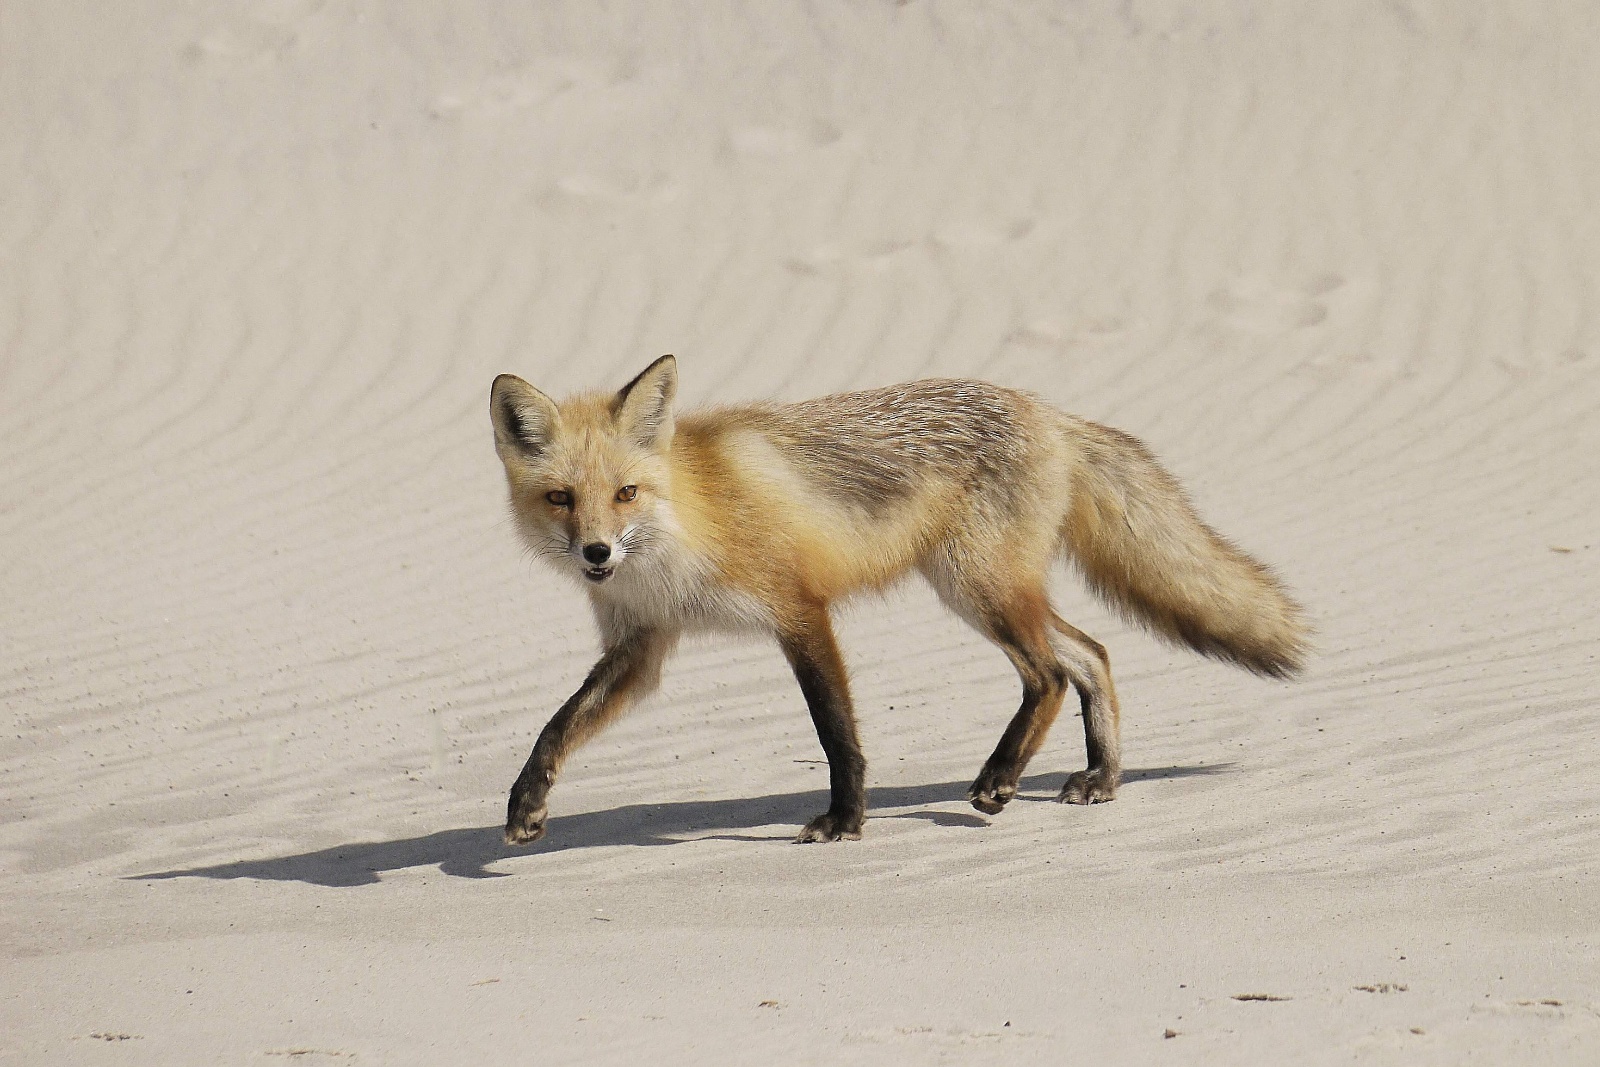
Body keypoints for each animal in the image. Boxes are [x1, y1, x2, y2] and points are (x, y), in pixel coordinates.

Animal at [490, 355, 1308, 845]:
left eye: (626, 493)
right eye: (562, 499)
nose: (597, 553)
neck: (687, 522)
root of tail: (1043, 407)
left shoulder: (799, 609)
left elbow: (835, 733)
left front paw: (845, 819)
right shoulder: (643, 644)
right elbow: (557, 726)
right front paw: (526, 804)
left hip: (977, 588)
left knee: (1047, 674)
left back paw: (999, 780)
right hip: (989, 589)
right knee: (1092, 655)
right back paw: (1102, 778)